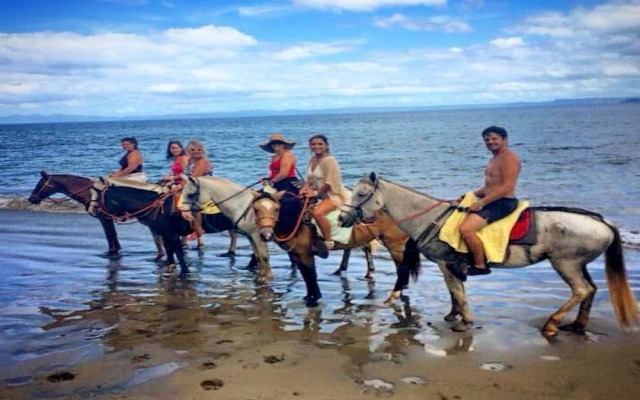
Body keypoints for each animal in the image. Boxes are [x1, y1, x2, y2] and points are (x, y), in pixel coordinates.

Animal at [28, 170, 164, 258]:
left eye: (40, 184)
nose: (31, 199)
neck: (90, 192)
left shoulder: (104, 218)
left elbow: (110, 237)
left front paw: (112, 253)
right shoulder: (107, 219)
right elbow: (113, 237)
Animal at [252, 191, 422, 306]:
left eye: (276, 209)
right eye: (255, 209)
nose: (266, 234)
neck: (299, 222)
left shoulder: (305, 253)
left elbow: (311, 275)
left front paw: (314, 298)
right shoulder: (297, 254)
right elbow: (306, 275)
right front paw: (309, 296)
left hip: (395, 244)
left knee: (402, 269)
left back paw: (394, 295)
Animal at [338, 172, 636, 338]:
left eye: (361, 193)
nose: (342, 218)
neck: (433, 219)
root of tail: (603, 222)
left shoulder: (447, 263)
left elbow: (457, 293)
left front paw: (464, 320)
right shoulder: (449, 266)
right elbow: (454, 292)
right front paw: (454, 315)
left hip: (566, 264)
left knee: (582, 290)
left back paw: (552, 323)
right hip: (577, 264)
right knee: (590, 290)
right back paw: (577, 325)